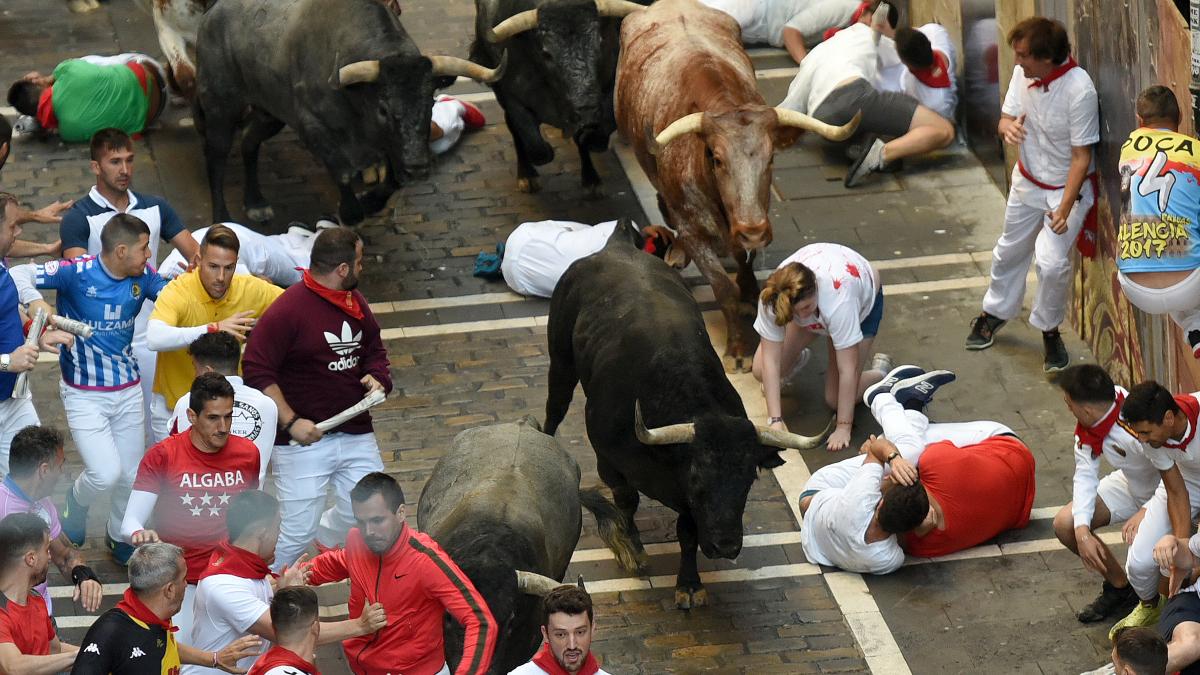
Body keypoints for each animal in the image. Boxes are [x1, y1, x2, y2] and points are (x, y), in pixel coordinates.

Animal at [195, 0, 504, 225]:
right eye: (383, 108)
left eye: (429, 102)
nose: (417, 166)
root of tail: (211, 15)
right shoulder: (314, 127)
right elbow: (342, 173)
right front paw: (350, 213)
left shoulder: (387, 144)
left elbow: (392, 181)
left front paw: (370, 200)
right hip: (220, 107)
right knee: (215, 157)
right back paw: (221, 218)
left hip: (268, 112)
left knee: (249, 141)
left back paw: (256, 203)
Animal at [471, 0, 647, 196]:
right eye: (546, 53)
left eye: (599, 43)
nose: (587, 110)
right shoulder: (512, 97)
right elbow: (534, 145)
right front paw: (536, 164)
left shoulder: (612, 84)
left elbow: (596, 131)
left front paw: (591, 171)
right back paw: (526, 175)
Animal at [543, 220, 832, 609]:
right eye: (698, 476)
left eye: (749, 479)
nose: (726, 545)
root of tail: (617, 244)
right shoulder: (609, 460)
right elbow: (626, 501)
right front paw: (632, 549)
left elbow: (688, 531)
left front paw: (690, 584)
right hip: (559, 359)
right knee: (554, 409)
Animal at [615, 0, 859, 372]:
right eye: (716, 158)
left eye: (771, 158)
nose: (753, 230)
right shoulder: (694, 230)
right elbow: (721, 287)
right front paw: (737, 350)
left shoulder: (757, 215)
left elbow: (745, 261)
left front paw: (748, 292)